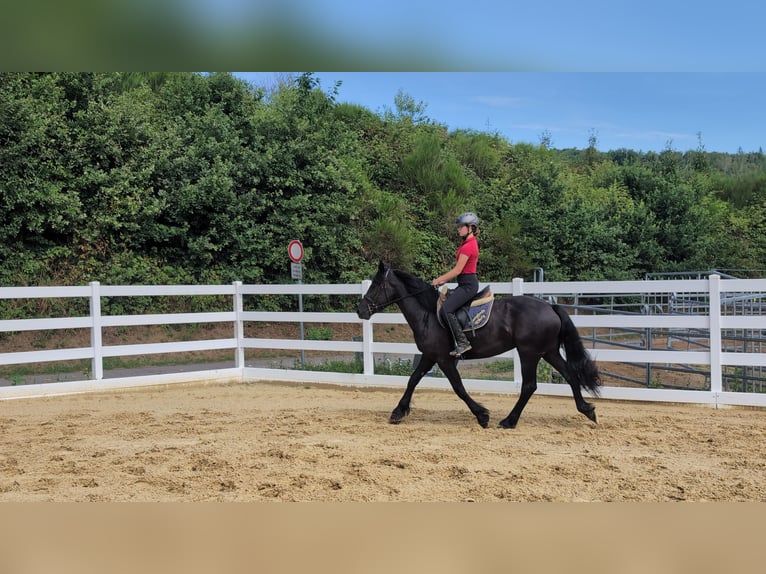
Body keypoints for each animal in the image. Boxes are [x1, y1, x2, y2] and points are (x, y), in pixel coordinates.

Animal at [357, 261, 601, 428]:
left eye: (376, 285)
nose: (360, 311)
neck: (428, 314)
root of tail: (550, 307)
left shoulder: (443, 359)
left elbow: (458, 387)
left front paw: (482, 415)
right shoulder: (429, 356)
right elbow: (413, 380)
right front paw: (398, 412)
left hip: (529, 353)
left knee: (529, 386)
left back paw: (509, 421)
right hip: (548, 351)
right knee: (570, 375)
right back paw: (587, 410)